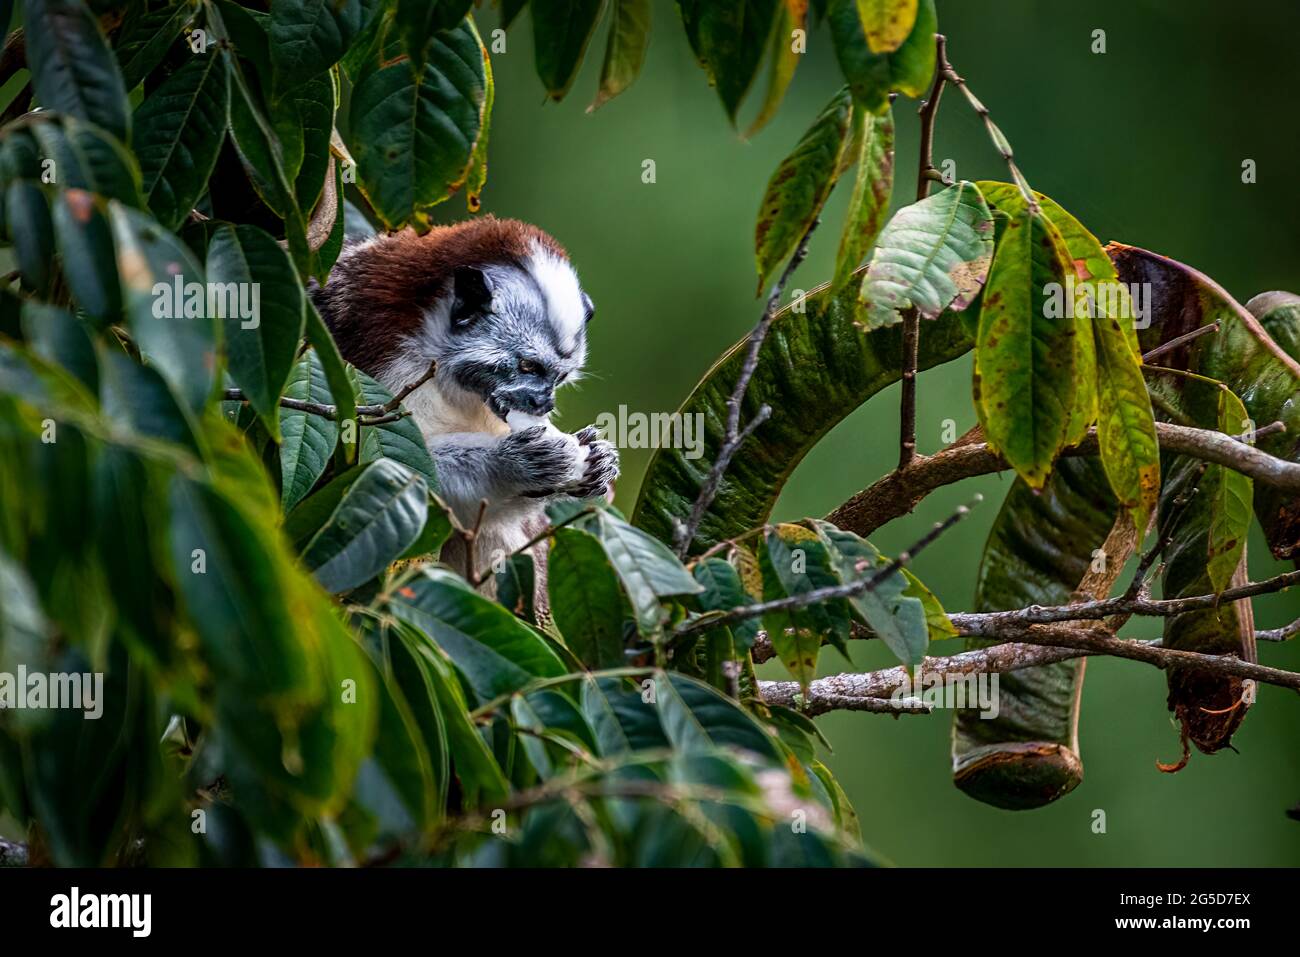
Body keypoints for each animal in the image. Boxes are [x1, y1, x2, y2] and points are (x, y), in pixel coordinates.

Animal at [313, 215, 618, 587]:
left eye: (557, 379)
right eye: (528, 367)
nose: (543, 402)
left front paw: (595, 458)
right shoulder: (373, 361)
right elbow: (372, 473)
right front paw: (514, 463)